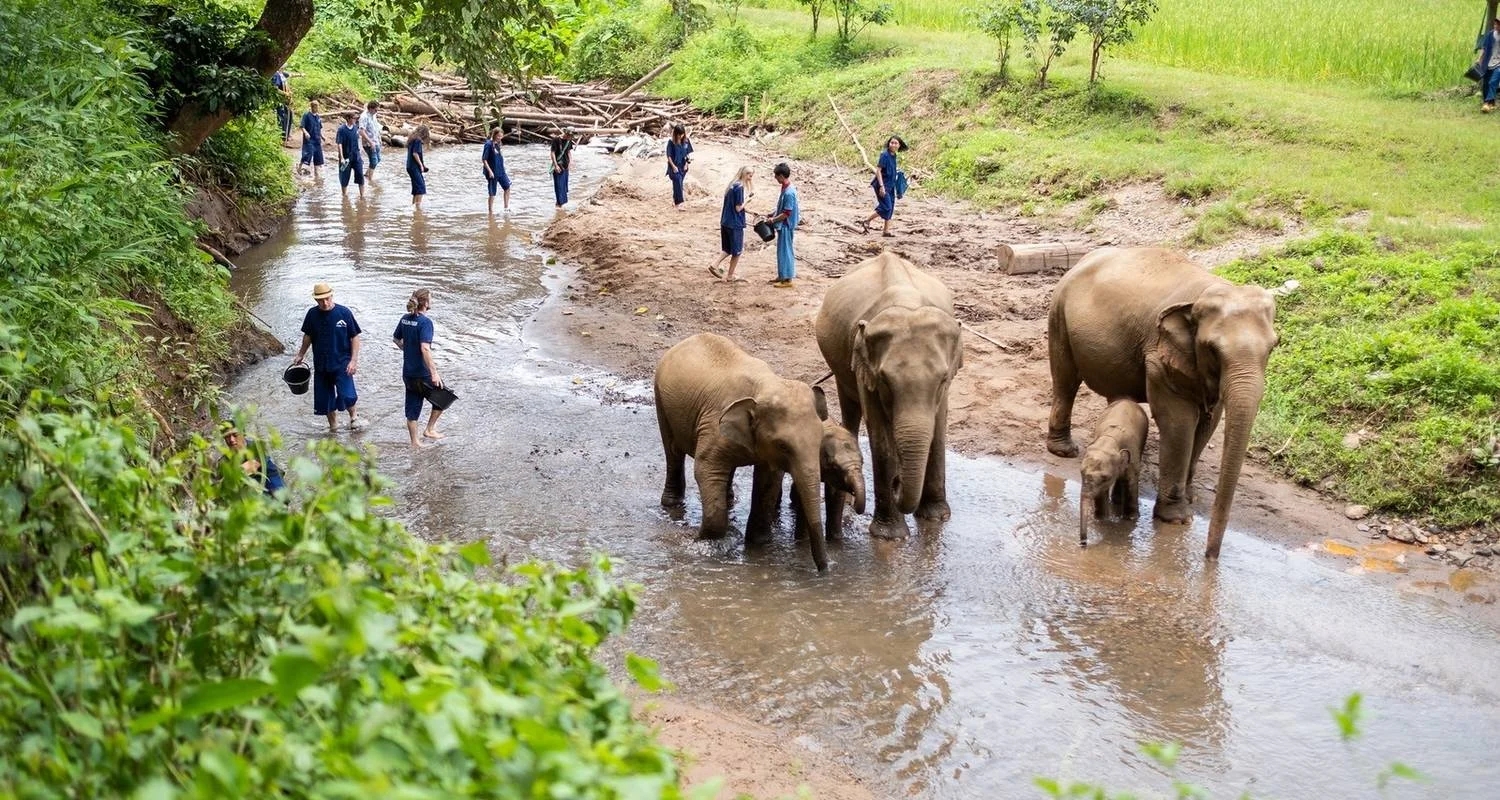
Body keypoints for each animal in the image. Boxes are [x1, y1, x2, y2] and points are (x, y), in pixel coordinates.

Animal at [654, 332, 835, 572]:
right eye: (783, 446)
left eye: (820, 441)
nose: (825, 569)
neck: (766, 385)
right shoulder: (714, 424)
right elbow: (705, 468)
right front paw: (705, 540)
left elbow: (769, 479)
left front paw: (759, 542)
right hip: (660, 399)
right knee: (672, 451)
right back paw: (672, 504)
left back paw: (729, 499)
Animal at [815, 252, 962, 540]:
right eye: (884, 380)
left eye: (942, 379)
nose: (898, 485)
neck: (908, 306)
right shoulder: (865, 367)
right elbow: (880, 436)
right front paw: (890, 536)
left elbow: (938, 429)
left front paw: (937, 517)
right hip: (841, 365)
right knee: (850, 408)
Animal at [1078, 399, 1149, 546]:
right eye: (1081, 472)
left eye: (1105, 478)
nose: (1083, 543)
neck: (1110, 440)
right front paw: (1102, 520)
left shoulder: (1132, 454)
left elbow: (1130, 481)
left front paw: (1131, 519)